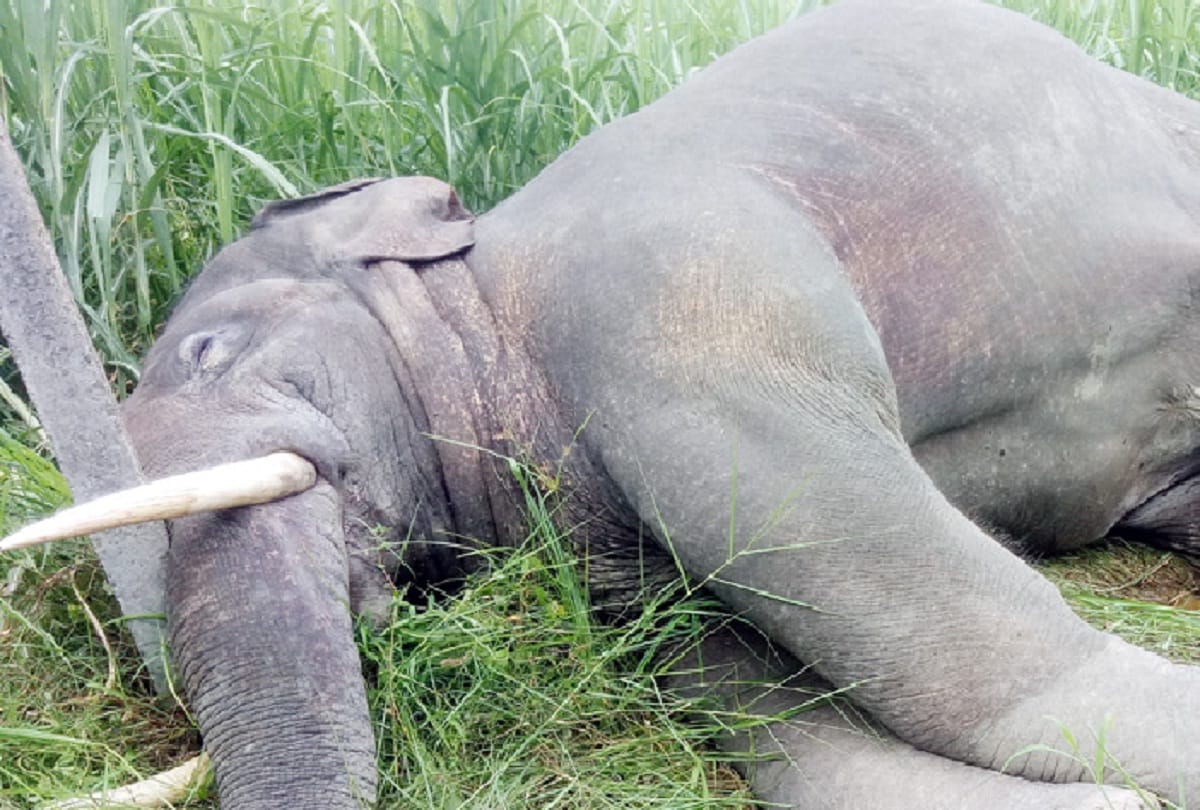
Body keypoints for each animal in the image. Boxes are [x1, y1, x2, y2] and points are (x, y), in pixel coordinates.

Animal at [8, 0, 1200, 807]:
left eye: (207, 351)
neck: (483, 289)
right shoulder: (614, 553)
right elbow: (771, 713)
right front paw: (1111, 801)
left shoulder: (674, 313)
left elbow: (959, 666)